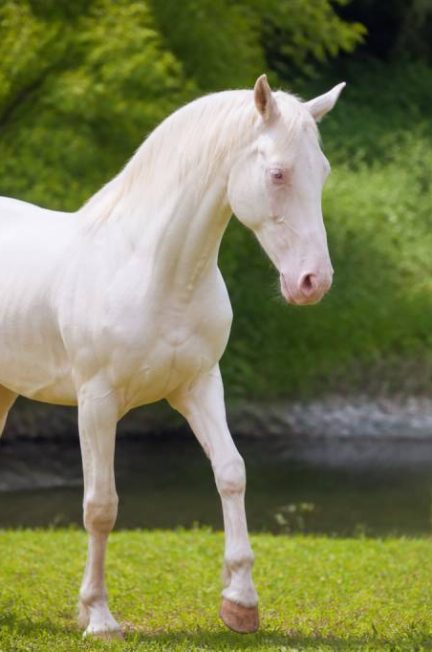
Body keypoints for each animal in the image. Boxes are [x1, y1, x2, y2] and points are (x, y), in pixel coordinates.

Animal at [0, 74, 344, 637]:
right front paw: (98, 616)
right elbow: (101, 505)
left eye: (323, 172)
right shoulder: (96, 402)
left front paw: (240, 602)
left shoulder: (200, 386)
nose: (313, 282)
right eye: (277, 172)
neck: (154, 271)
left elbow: (231, 471)